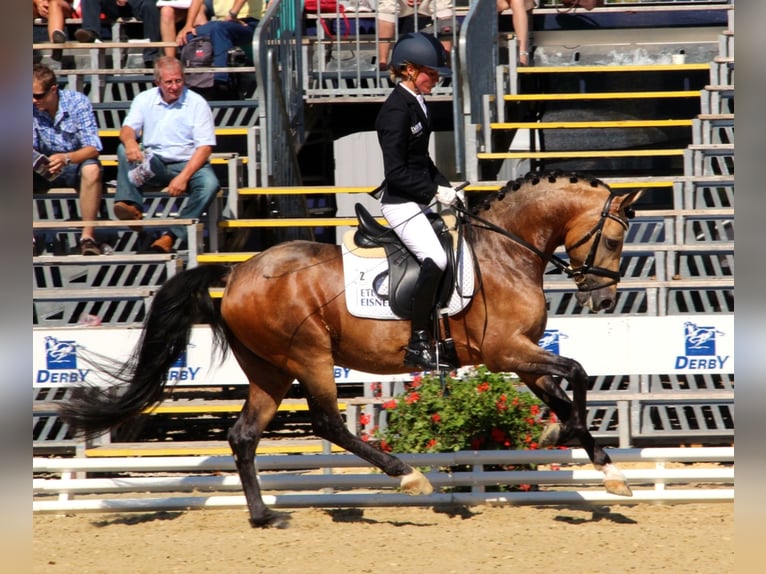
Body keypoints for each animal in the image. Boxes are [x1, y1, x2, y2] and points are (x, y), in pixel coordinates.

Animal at [60, 171, 643, 528]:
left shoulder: (520, 357)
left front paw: (602, 466)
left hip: (269, 370)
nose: (603, 297)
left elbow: (564, 391)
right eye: (614, 240)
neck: (506, 251)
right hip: (310, 356)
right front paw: (565, 439)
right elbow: (578, 372)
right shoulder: (506, 352)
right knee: (327, 423)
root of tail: (239, 271)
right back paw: (408, 477)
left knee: (244, 434)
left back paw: (263, 515)